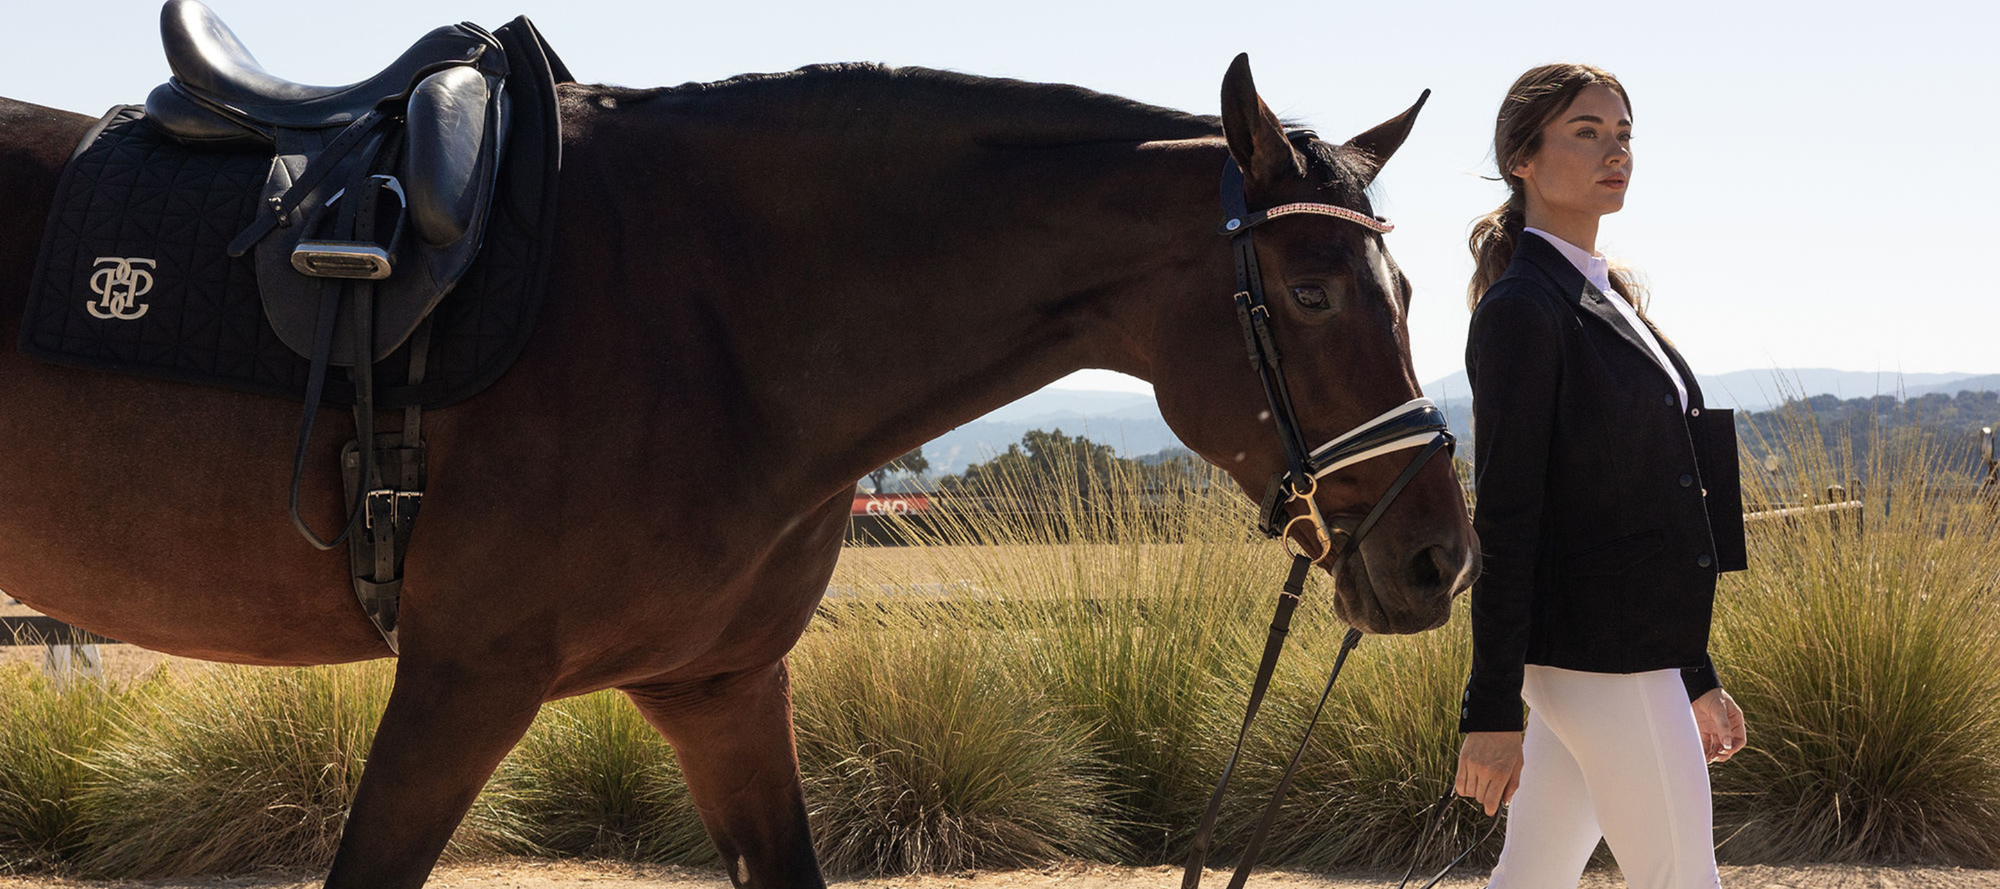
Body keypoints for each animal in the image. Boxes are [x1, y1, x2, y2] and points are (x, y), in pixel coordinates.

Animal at [0, 53, 1477, 889]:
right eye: (1310, 290)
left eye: (1406, 287)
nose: (1434, 555)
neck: (706, 307)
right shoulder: (463, 683)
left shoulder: (719, 691)